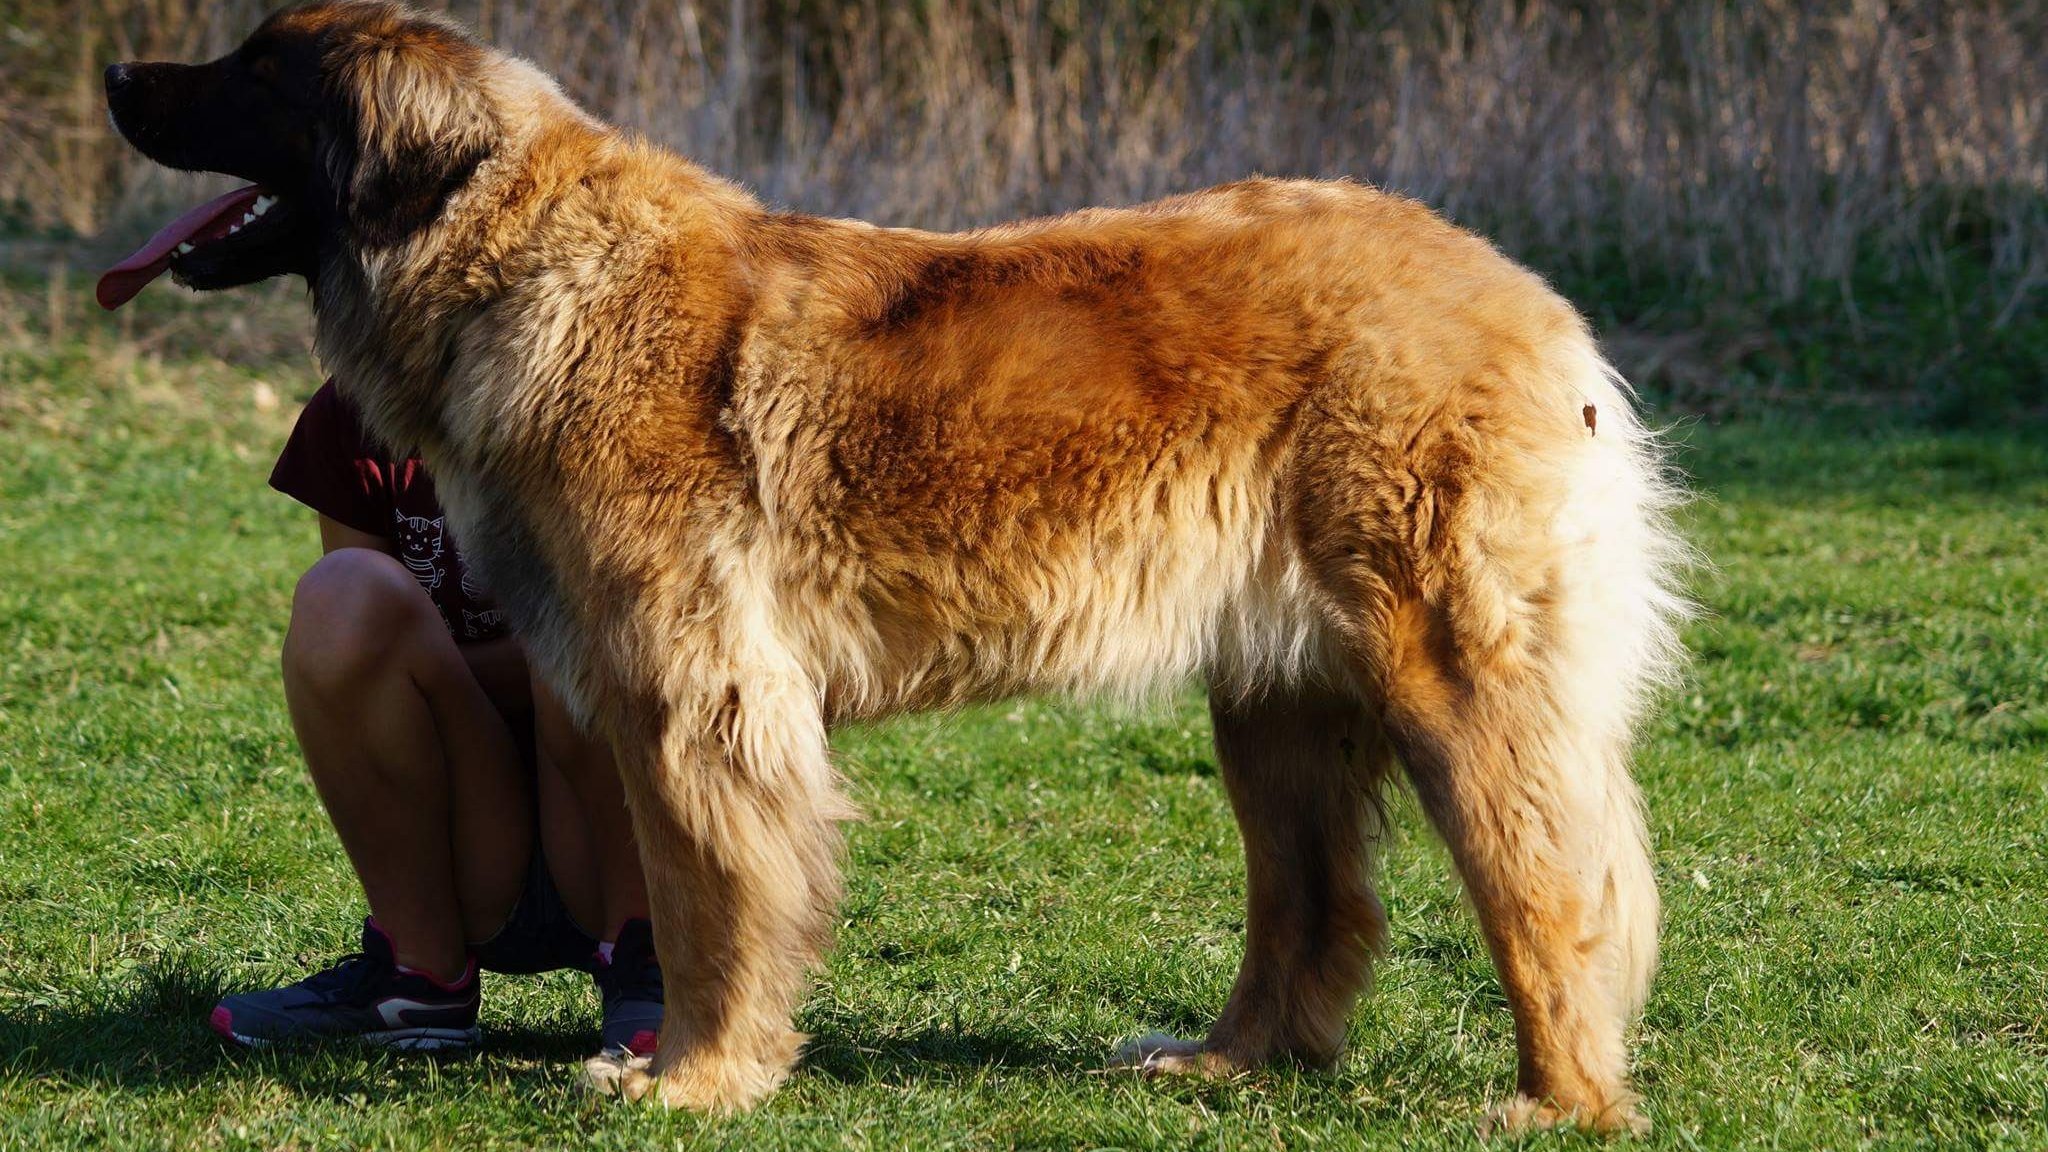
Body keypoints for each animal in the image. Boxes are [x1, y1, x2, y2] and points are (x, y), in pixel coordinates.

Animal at [103, 0, 1687, 1131]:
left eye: (257, 68)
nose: (117, 69)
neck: (521, 259)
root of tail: (1521, 289)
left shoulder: (695, 695)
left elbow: (703, 903)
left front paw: (696, 1078)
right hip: (1274, 695)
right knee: (1313, 906)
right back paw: (1223, 1064)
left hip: (1444, 672)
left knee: (1546, 880)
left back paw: (1559, 1100)